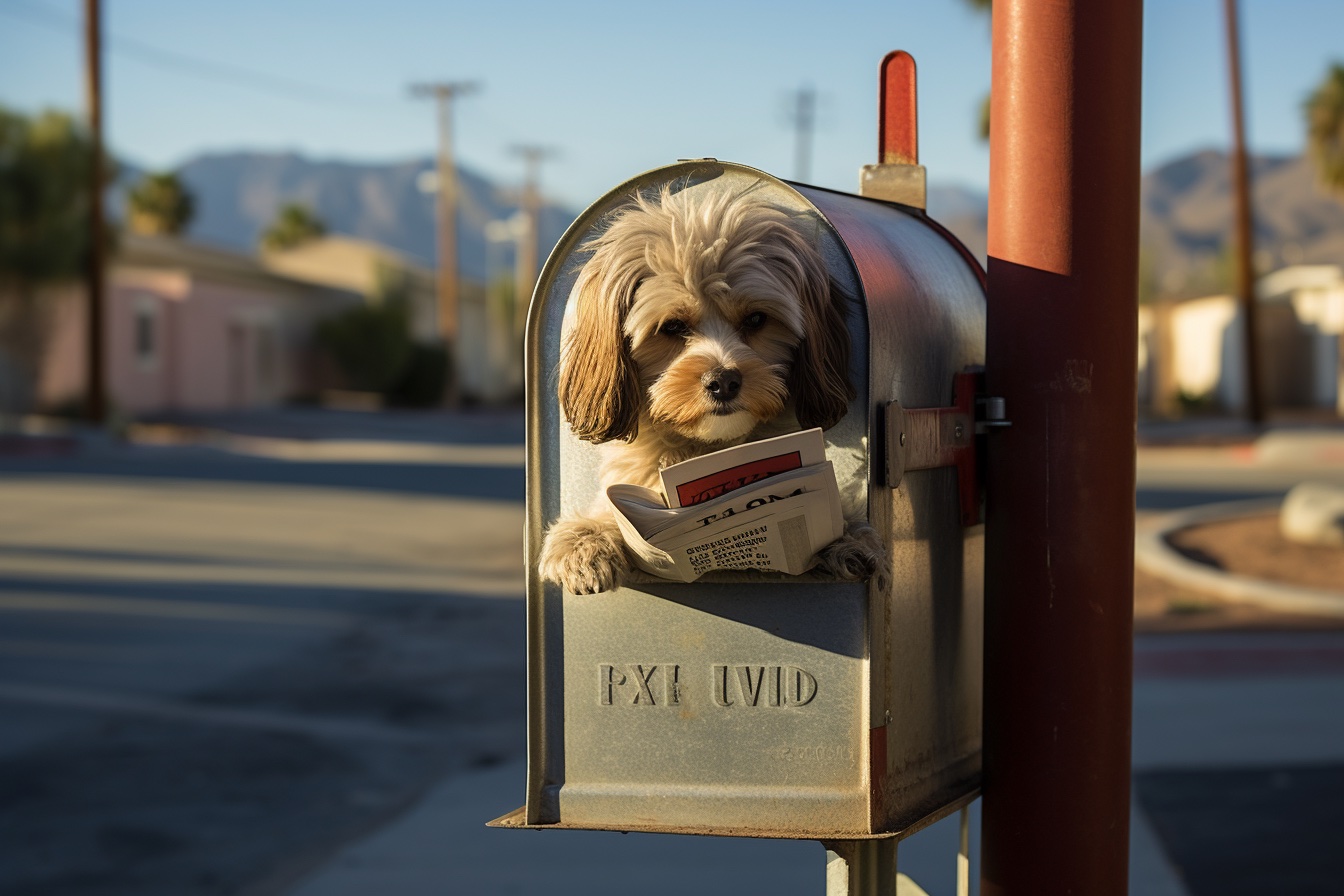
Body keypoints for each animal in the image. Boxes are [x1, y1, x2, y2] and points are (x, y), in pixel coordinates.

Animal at [534, 182, 881, 596]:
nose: (723, 381)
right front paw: (586, 540)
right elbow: (616, 511)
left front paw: (846, 537)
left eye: (756, 319)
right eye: (672, 326)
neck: (710, 448)